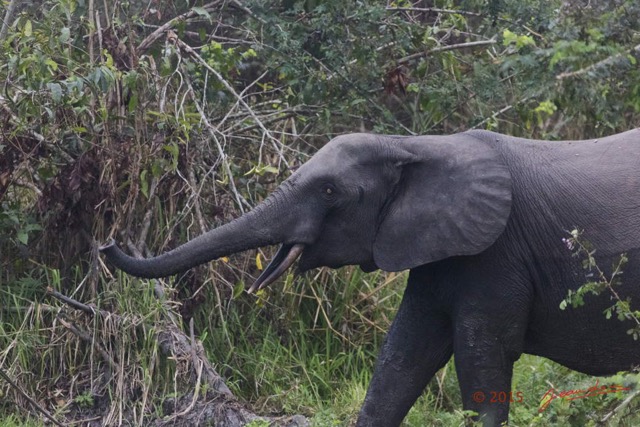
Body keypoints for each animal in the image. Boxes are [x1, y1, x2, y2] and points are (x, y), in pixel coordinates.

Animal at [101, 130, 640, 427]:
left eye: (328, 191)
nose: (106, 243)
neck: (413, 145)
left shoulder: (497, 253)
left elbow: (481, 361)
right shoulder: (436, 249)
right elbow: (403, 356)